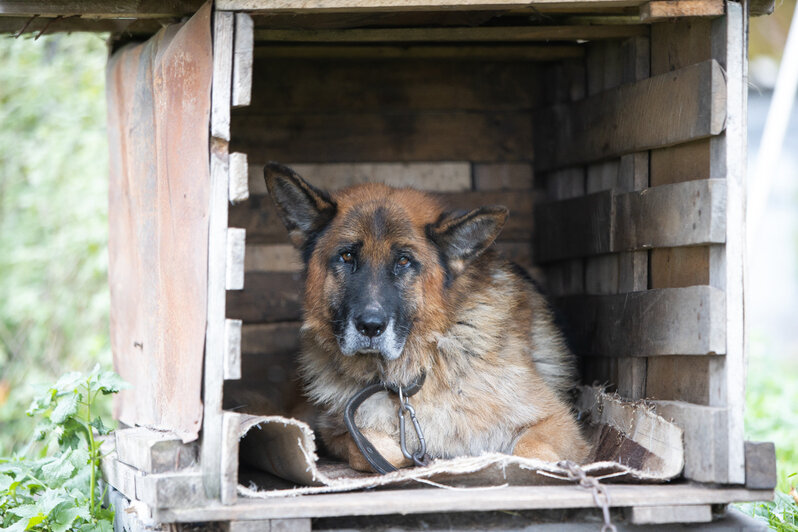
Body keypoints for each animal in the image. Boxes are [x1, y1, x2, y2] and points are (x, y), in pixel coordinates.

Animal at [266, 162, 592, 470]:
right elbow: (379, 450)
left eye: (403, 261)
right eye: (347, 256)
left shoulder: (556, 422)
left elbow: (529, 452)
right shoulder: (336, 430)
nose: (370, 327)